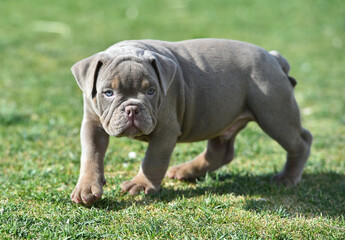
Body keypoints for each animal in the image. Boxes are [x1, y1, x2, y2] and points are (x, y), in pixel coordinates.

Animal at [70, 38, 312, 205]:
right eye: (108, 93)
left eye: (151, 91)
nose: (132, 108)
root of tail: (273, 58)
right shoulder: (92, 125)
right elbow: (91, 155)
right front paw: (87, 188)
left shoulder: (164, 132)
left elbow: (152, 161)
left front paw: (141, 184)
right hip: (220, 116)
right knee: (220, 151)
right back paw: (186, 171)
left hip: (275, 113)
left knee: (301, 141)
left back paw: (287, 178)